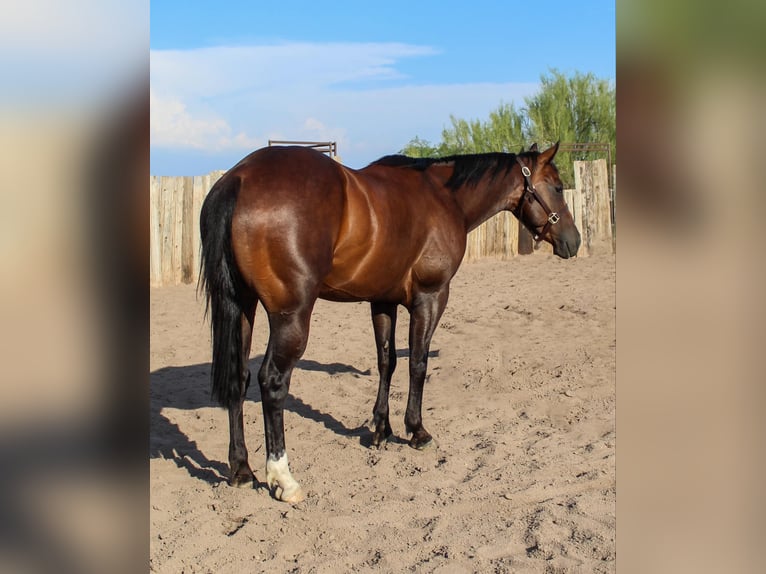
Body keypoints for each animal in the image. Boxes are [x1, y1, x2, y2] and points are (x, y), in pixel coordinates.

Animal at [199, 142, 580, 503]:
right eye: (558, 187)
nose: (573, 241)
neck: (443, 197)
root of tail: (240, 178)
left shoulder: (382, 301)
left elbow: (387, 361)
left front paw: (381, 429)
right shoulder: (431, 297)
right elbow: (418, 363)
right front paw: (416, 430)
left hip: (243, 306)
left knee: (239, 378)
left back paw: (241, 469)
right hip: (290, 317)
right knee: (272, 381)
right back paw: (283, 478)